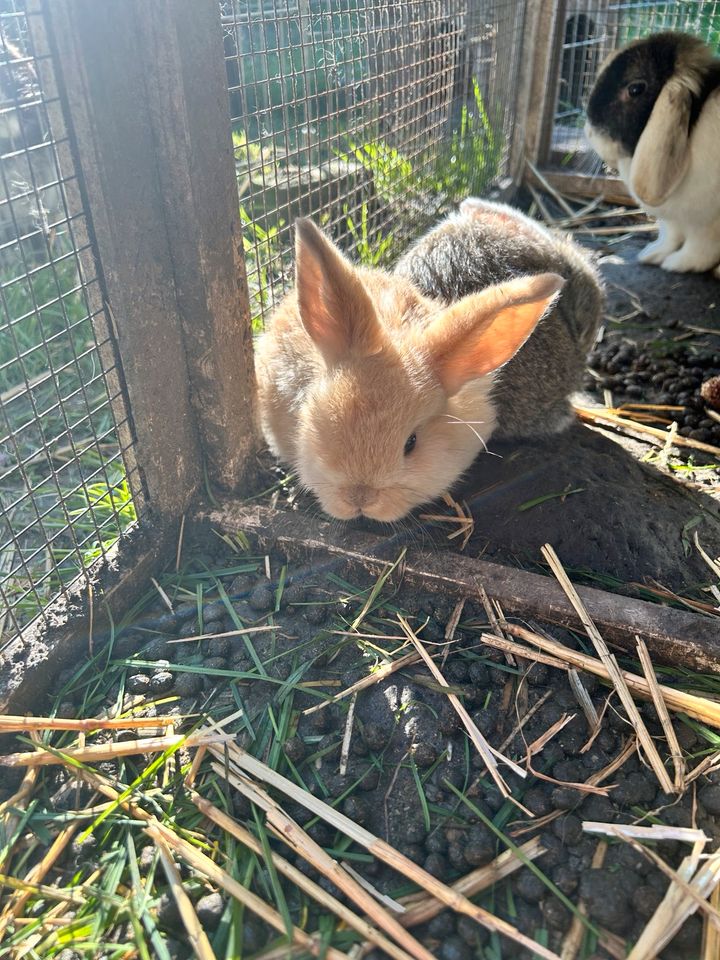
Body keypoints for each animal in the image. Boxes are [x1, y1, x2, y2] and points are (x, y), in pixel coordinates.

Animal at [584, 32, 720, 274]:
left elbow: (698, 250)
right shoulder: (673, 222)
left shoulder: (706, 226)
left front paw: (676, 264)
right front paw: (651, 255)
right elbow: (669, 238)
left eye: (635, 89)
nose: (589, 133)